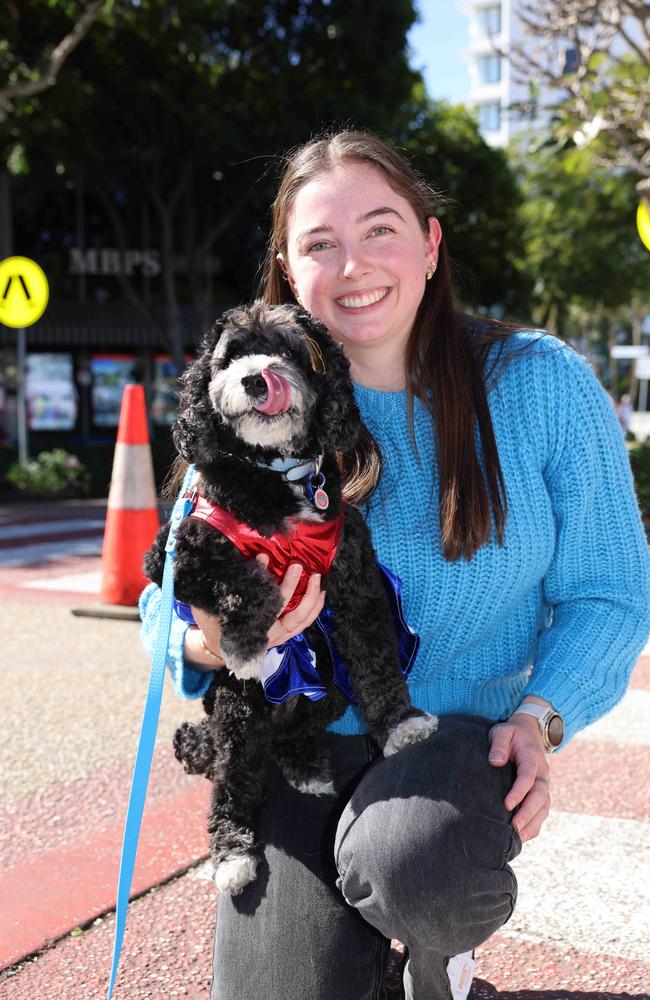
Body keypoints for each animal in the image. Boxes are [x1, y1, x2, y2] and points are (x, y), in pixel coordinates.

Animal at [142, 300, 436, 896]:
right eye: (230, 356)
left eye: (287, 350)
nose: (256, 378)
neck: (275, 474)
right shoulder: (176, 552)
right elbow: (243, 577)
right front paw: (246, 641)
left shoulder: (354, 579)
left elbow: (376, 658)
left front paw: (400, 724)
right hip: (234, 713)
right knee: (234, 777)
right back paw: (232, 851)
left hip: (329, 690)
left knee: (289, 739)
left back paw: (303, 766)